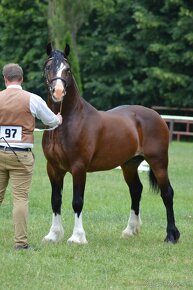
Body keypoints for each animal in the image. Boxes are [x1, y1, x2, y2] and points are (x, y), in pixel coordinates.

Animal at [41, 42, 180, 245]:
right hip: (129, 165)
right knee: (136, 190)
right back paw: (130, 231)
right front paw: (53, 235)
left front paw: (77, 237)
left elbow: (77, 201)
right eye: (48, 67)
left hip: (159, 162)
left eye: (68, 69)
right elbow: (55, 200)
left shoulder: (78, 168)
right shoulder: (53, 168)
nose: (58, 92)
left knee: (167, 193)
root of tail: (157, 116)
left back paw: (171, 235)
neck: (66, 122)